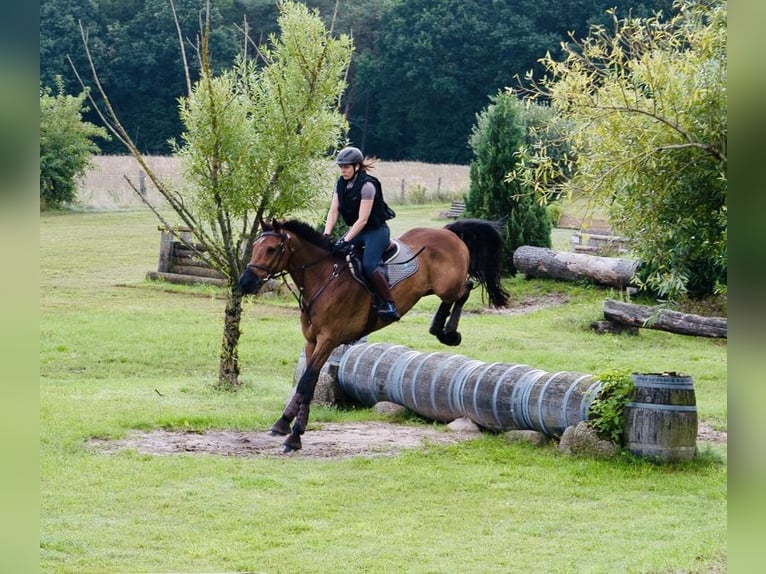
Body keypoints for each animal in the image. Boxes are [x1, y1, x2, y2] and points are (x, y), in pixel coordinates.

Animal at [236, 218, 510, 452]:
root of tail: (447, 232)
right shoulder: (311, 341)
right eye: (256, 246)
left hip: (448, 284)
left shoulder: (328, 340)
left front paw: (294, 437)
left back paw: (449, 333)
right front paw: (283, 424)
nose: (245, 283)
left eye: (271, 249)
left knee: (465, 289)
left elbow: (305, 383)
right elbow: (308, 384)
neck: (323, 277)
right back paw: (439, 328)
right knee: (457, 295)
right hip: (436, 287)